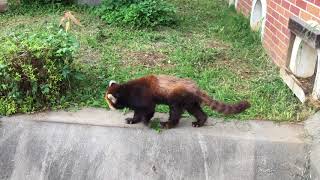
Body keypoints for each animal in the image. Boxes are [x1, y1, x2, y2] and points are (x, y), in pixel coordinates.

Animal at [105, 74, 250, 128]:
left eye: (108, 102)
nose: (109, 107)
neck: (127, 90)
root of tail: (194, 86)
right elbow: (137, 112)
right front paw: (132, 120)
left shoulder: (143, 97)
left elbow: (149, 110)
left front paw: (146, 122)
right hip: (190, 101)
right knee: (196, 110)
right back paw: (199, 122)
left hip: (178, 98)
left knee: (175, 111)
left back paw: (167, 124)